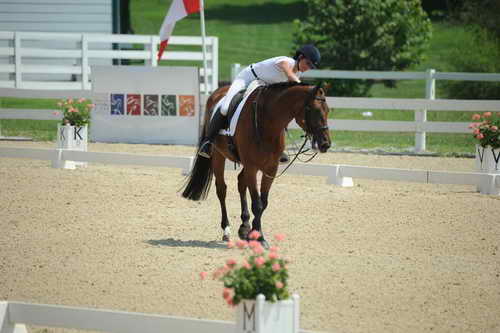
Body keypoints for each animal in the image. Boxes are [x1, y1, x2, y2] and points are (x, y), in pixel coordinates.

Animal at [181, 81, 332, 245]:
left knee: (241, 182)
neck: (268, 122)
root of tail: (217, 92)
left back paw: (244, 226)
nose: (325, 144)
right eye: (314, 110)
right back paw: (226, 229)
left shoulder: (271, 168)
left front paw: (253, 233)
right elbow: (257, 203)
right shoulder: (252, 167)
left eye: (328, 110)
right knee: (222, 189)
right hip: (218, 156)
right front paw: (258, 237)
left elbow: (263, 202)